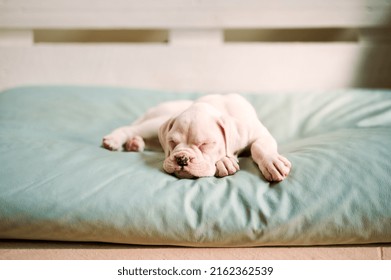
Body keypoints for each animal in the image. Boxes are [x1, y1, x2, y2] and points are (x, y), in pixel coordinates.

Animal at [102, 94, 292, 182]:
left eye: (205, 144)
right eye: (172, 142)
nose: (182, 158)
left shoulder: (261, 134)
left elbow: (259, 147)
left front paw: (272, 162)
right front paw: (225, 161)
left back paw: (134, 144)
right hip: (155, 123)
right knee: (131, 128)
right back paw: (115, 139)